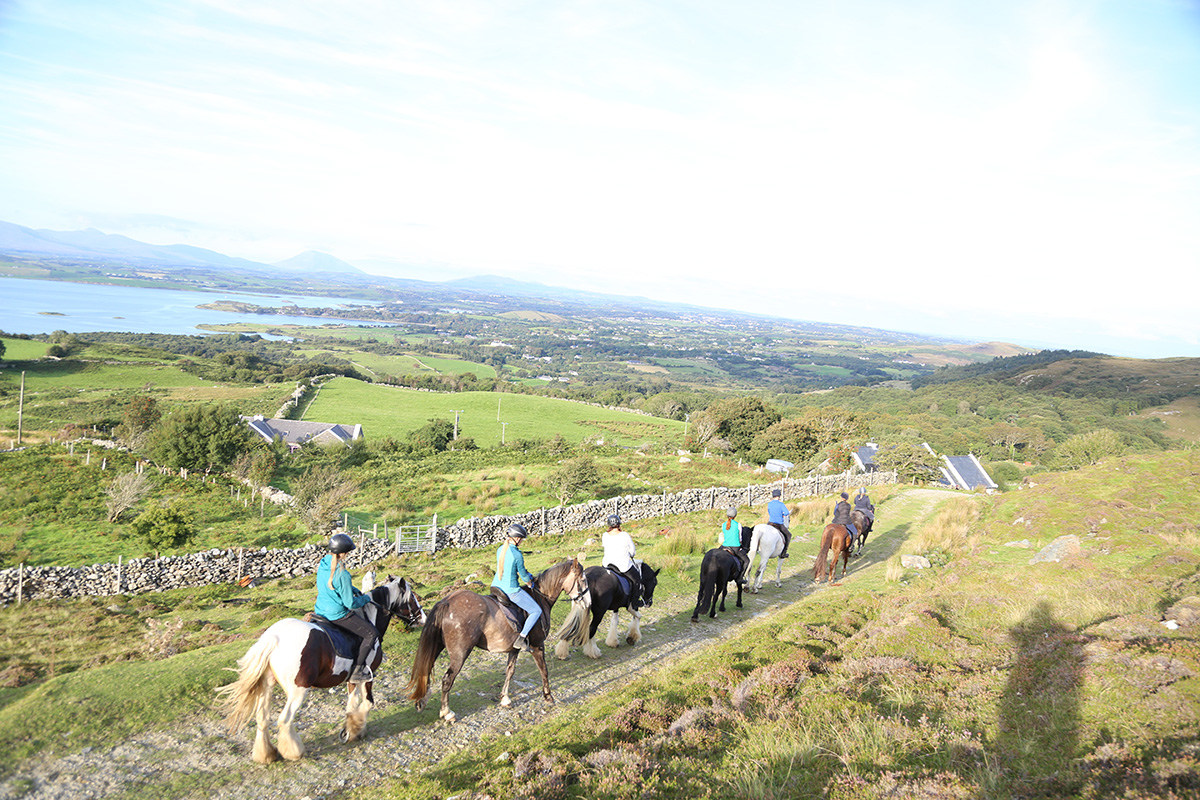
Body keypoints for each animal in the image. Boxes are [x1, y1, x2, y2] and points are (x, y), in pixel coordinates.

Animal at [218, 575, 429, 762]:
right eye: (412, 598)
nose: (423, 618)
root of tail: (273, 637)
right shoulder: (368, 676)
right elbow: (367, 703)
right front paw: (356, 730)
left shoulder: (353, 678)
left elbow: (351, 704)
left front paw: (349, 729)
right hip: (298, 691)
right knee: (284, 720)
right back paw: (294, 752)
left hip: (267, 686)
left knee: (262, 718)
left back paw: (266, 755)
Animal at [405, 556, 588, 724]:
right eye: (583, 579)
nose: (587, 602)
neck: (539, 598)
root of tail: (447, 602)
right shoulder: (538, 646)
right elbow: (544, 671)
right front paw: (548, 697)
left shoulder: (514, 649)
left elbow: (510, 671)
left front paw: (505, 698)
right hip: (459, 654)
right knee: (447, 680)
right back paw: (447, 713)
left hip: (437, 646)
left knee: (426, 670)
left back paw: (422, 701)